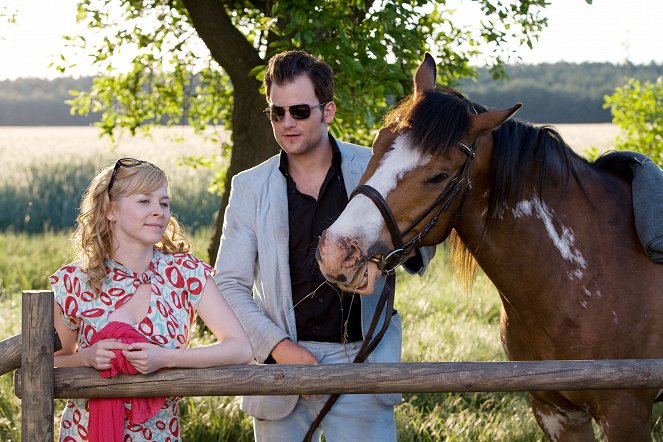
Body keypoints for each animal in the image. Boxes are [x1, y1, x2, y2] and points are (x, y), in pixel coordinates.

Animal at [316, 53, 663, 440]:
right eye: (377, 143)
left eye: (439, 176)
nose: (336, 251)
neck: (582, 272)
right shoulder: (557, 412)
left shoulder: (625, 413)